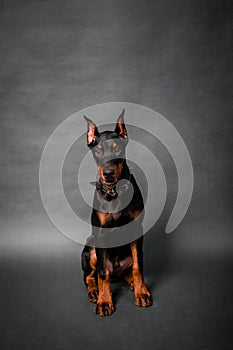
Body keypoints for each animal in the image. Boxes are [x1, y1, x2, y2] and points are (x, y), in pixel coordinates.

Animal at [81, 110, 152, 318]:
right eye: (97, 151)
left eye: (117, 149)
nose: (108, 173)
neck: (115, 192)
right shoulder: (101, 234)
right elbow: (102, 273)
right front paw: (105, 301)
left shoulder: (136, 231)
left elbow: (138, 267)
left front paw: (142, 292)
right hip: (90, 248)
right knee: (90, 276)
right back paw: (94, 292)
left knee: (129, 270)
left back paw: (134, 284)